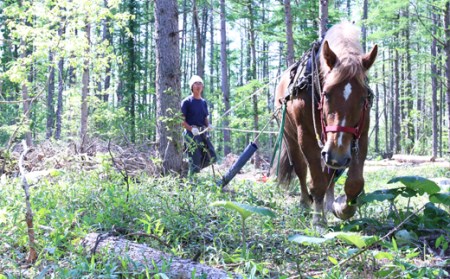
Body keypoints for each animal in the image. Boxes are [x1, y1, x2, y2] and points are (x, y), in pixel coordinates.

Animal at [274, 23, 376, 226]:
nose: (338, 156)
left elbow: (355, 182)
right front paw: (318, 220)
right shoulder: (307, 136)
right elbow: (316, 180)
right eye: (326, 93)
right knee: (301, 169)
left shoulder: (360, 134)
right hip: (292, 138)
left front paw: (343, 208)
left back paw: (327, 204)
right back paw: (307, 204)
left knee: (329, 172)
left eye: (363, 98)